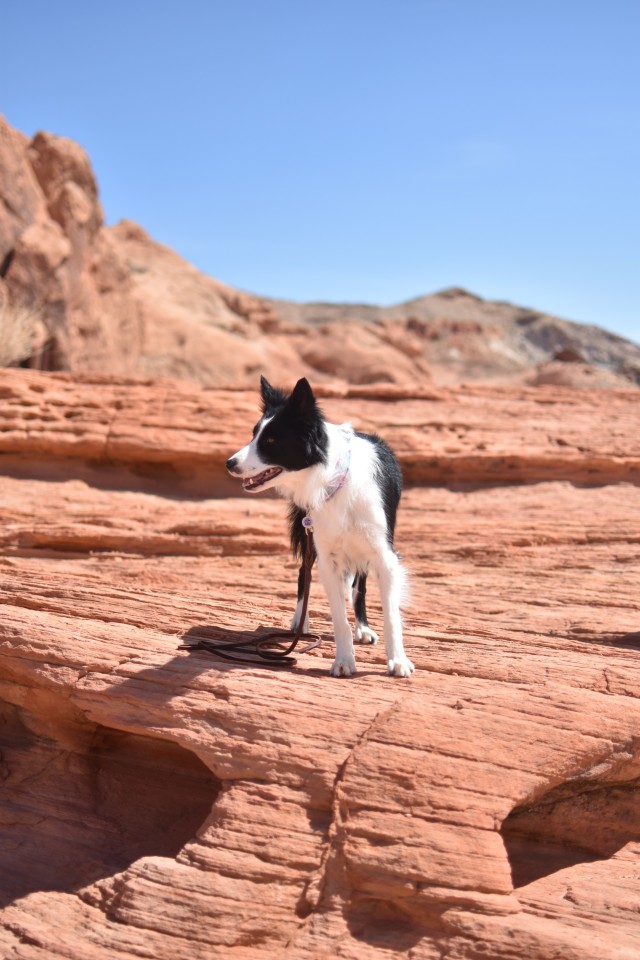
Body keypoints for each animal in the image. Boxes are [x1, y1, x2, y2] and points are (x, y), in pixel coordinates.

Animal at [225, 378, 416, 680]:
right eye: (253, 435)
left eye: (270, 441)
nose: (229, 463)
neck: (334, 479)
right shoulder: (327, 556)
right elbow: (338, 616)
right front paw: (344, 661)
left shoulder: (384, 554)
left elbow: (390, 615)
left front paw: (398, 660)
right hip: (308, 533)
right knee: (304, 573)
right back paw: (300, 621)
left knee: (359, 584)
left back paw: (363, 627)